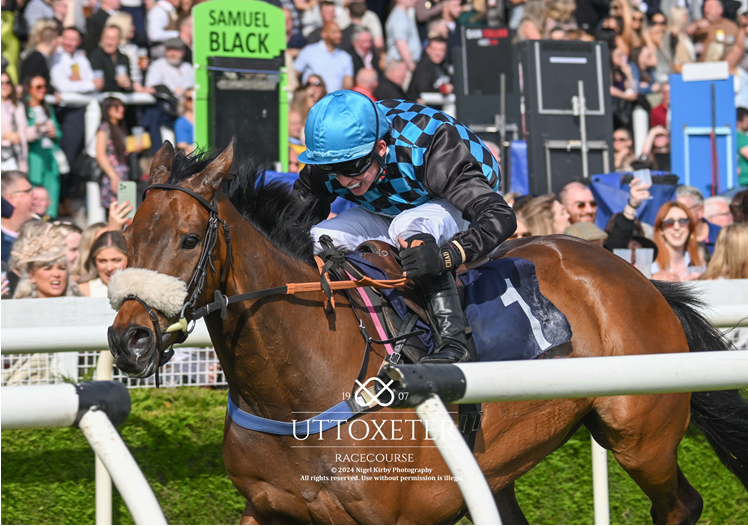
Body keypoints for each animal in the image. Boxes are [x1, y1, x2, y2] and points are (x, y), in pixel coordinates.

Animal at [106, 142, 748, 524]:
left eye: (190, 239)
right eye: (129, 236)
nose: (129, 340)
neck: (295, 391)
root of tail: (636, 275)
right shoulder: (267, 508)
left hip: (641, 436)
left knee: (681, 503)